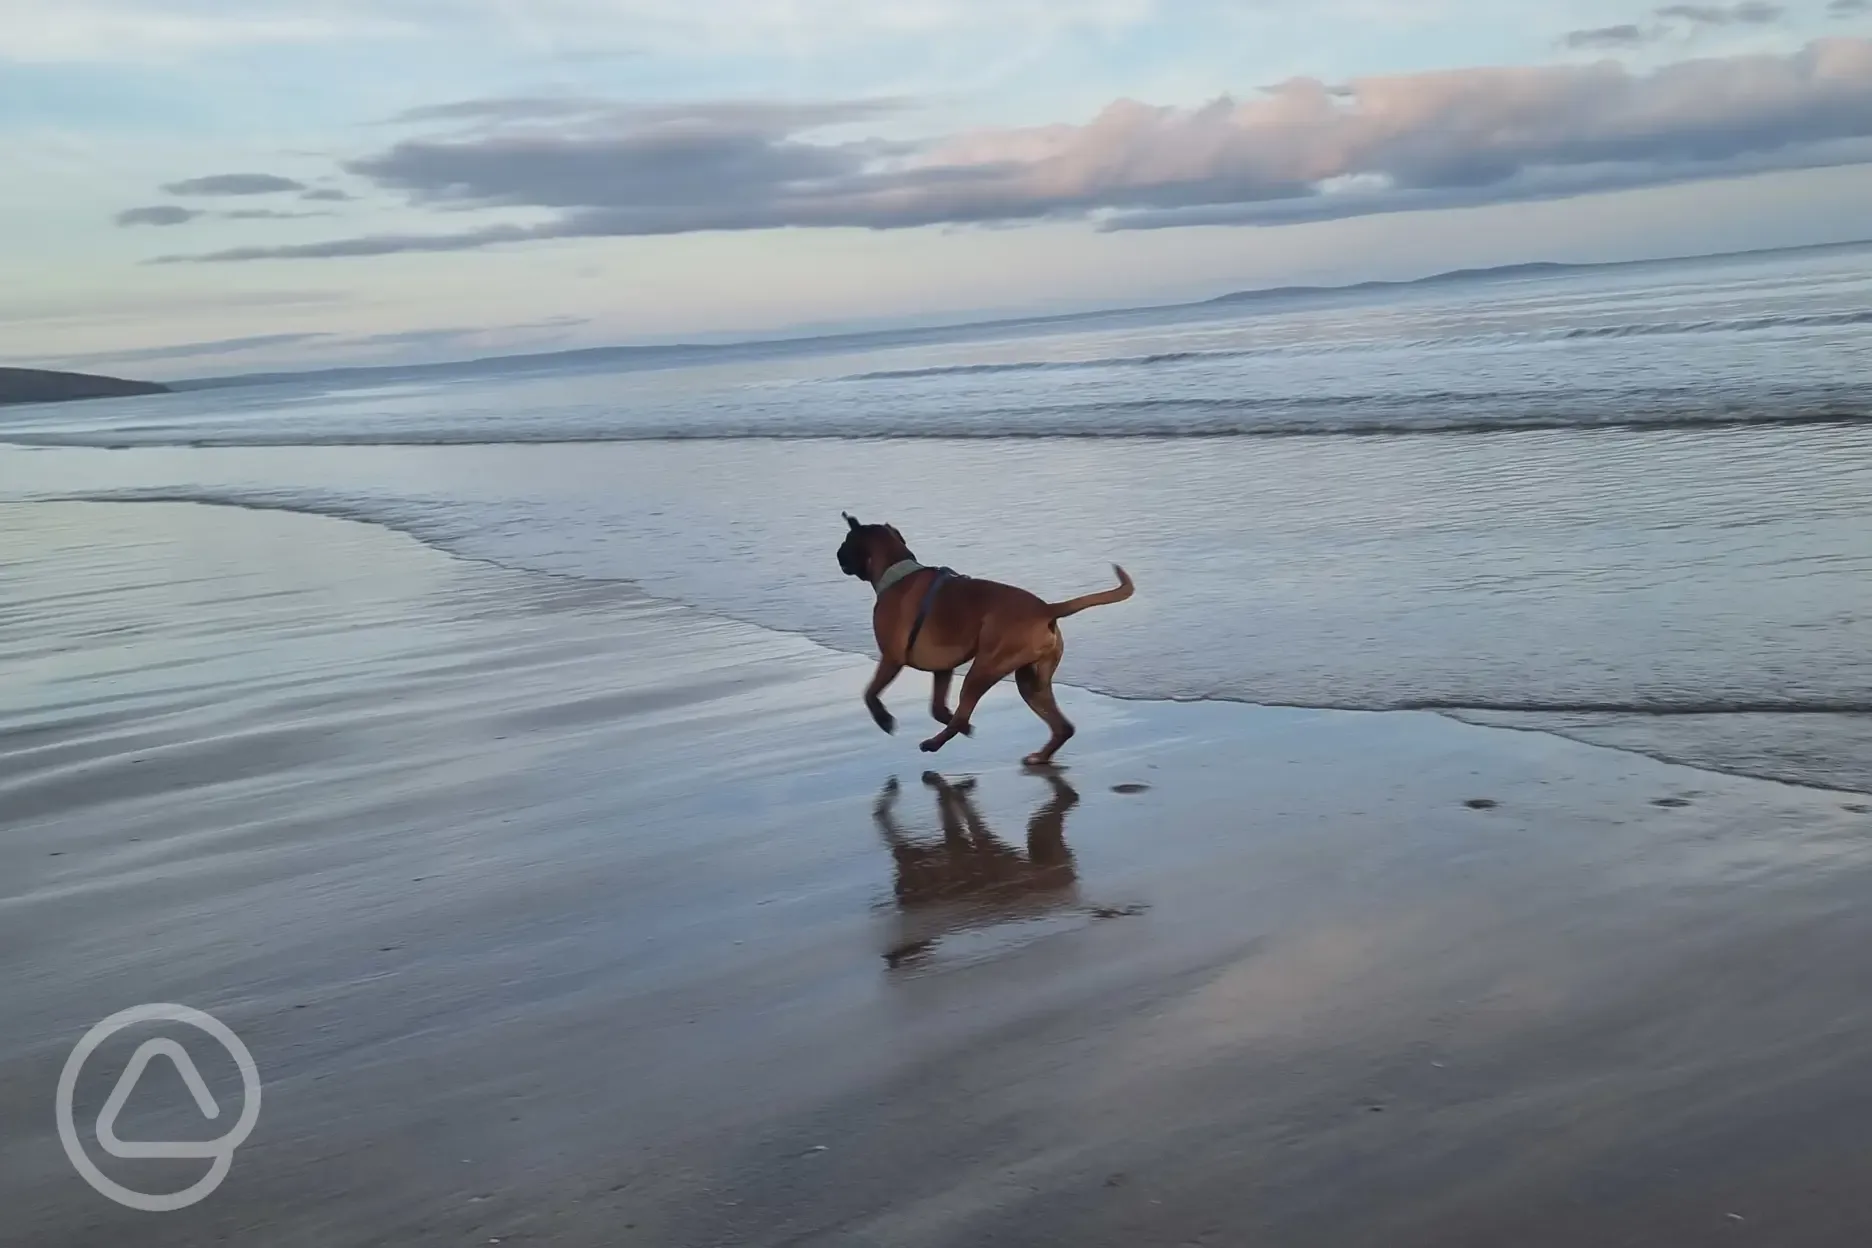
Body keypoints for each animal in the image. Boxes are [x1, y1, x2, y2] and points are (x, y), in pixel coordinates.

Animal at [838, 512, 1130, 767]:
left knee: (963, 711)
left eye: (845, 544)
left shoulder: (891, 658)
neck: (896, 572)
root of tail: (1046, 609)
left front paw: (884, 719)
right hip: (1031, 682)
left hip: (983, 670)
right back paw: (1039, 757)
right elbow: (937, 707)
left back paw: (933, 743)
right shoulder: (943, 669)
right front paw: (963, 726)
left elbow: (870, 693)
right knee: (1063, 727)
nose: (838, 555)